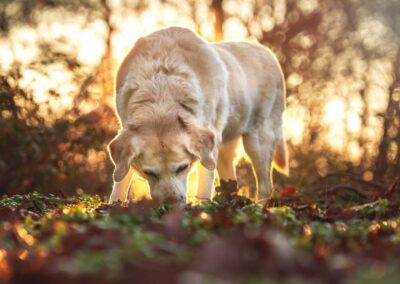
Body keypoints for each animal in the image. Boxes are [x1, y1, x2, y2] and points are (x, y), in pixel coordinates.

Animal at [107, 27, 288, 204]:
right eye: (150, 173)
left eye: (182, 168)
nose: (171, 203)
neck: (161, 88)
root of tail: (269, 54)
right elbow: (121, 179)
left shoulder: (208, 150)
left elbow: (204, 186)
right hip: (227, 149)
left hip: (257, 141)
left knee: (265, 186)